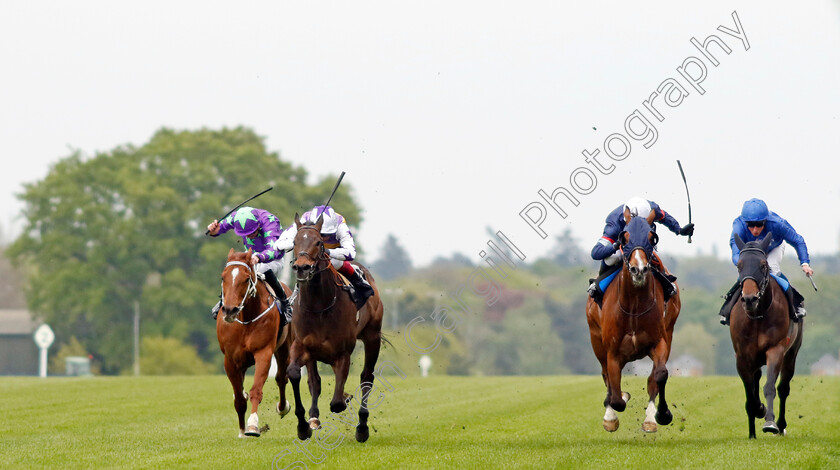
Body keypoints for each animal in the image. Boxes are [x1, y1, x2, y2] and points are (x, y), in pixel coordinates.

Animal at [217, 250, 296, 436]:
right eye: (223, 277)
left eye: (246, 279)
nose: (229, 310)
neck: (246, 317)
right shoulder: (230, 359)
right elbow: (239, 397)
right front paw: (241, 431)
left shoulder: (263, 353)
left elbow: (256, 390)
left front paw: (252, 425)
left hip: (284, 348)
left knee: (282, 378)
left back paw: (283, 407)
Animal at [286, 215, 384, 442]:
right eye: (294, 242)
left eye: (318, 242)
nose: (302, 268)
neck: (319, 305)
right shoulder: (302, 345)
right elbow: (295, 374)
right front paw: (303, 426)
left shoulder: (342, 353)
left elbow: (337, 403)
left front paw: (346, 400)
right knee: (314, 381)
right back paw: (314, 418)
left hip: (372, 337)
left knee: (367, 378)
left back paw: (362, 427)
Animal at [584, 211, 684, 432]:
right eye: (624, 238)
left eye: (652, 237)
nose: (639, 269)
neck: (634, 307)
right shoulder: (612, 352)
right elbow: (615, 395)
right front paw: (612, 414)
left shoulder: (659, 342)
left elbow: (659, 375)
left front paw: (661, 415)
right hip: (596, 341)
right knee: (606, 376)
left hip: (669, 331)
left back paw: (650, 418)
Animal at [724, 233, 804, 438]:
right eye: (739, 266)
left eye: (763, 265)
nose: (749, 299)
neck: (757, 316)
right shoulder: (742, 356)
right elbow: (750, 394)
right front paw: (758, 412)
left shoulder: (775, 350)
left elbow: (769, 387)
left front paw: (770, 422)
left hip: (791, 354)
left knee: (783, 388)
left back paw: (781, 425)